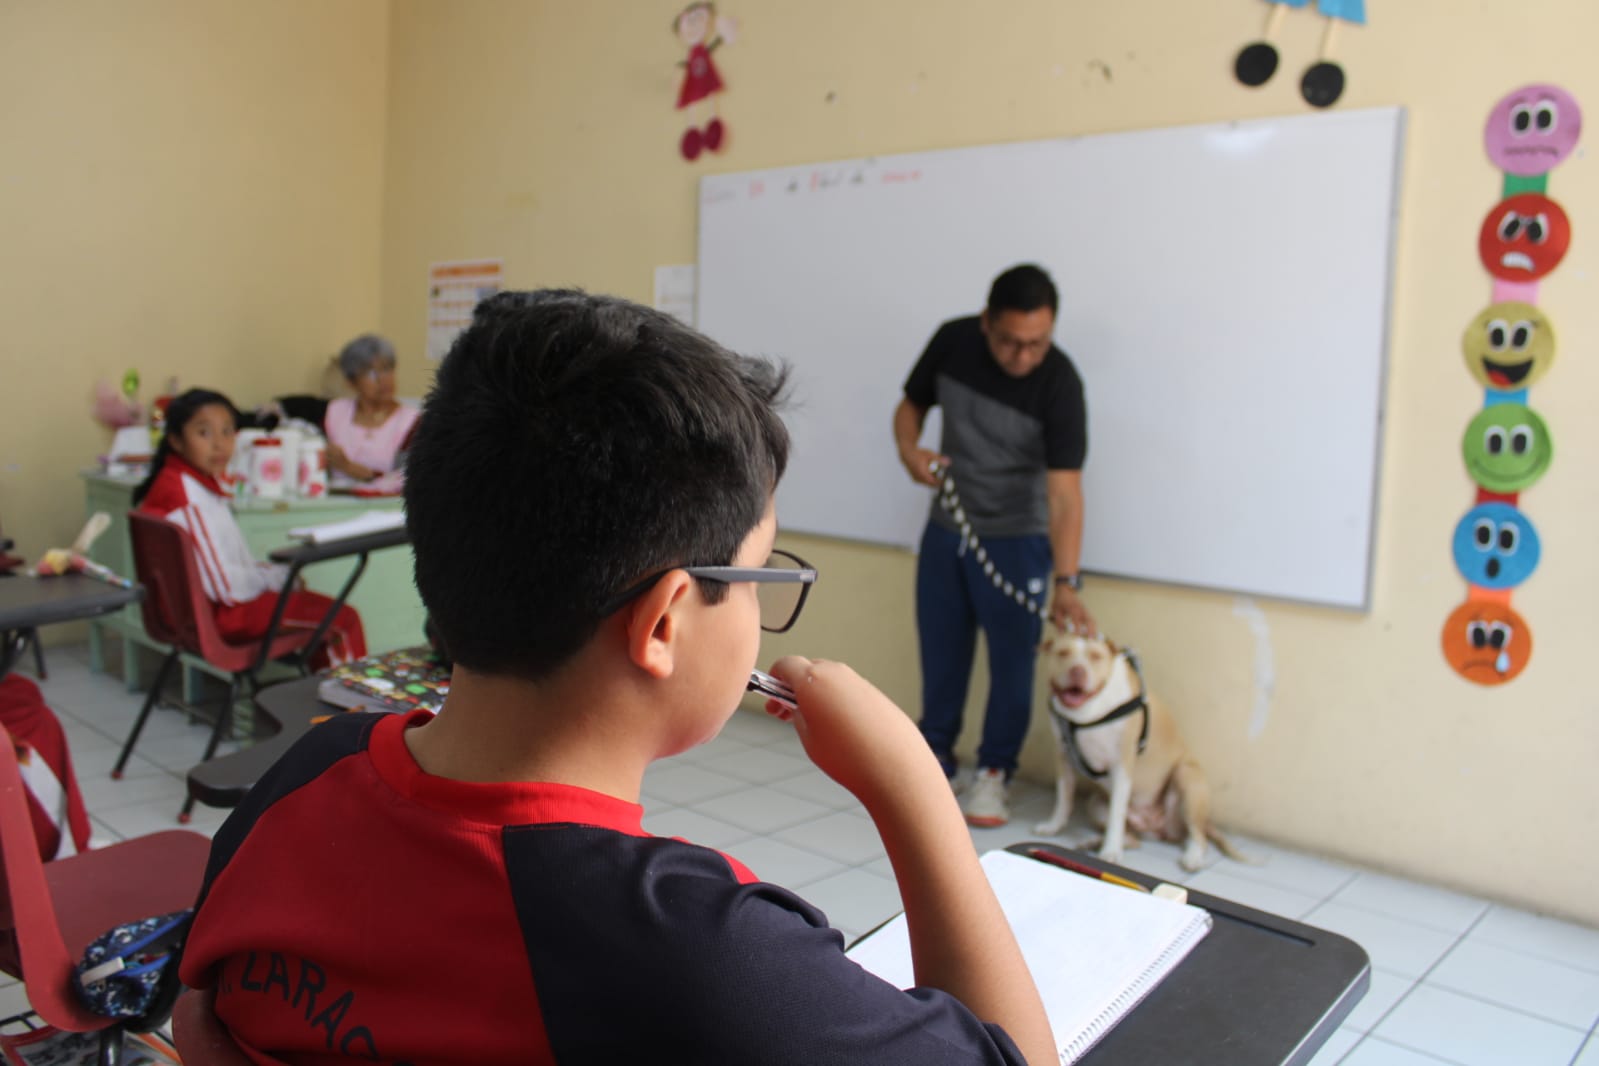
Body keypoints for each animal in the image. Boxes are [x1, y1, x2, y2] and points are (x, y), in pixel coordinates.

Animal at [1029, 629, 1240, 869]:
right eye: (1063, 653)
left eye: (1096, 656)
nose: (1077, 671)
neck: (1087, 713)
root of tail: (1154, 827)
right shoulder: (1064, 757)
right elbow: (1064, 799)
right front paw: (1053, 825)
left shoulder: (1122, 766)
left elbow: (1116, 814)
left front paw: (1111, 850)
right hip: (1095, 803)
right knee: (1132, 839)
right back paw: (1093, 842)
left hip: (1187, 780)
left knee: (1198, 835)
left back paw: (1192, 856)